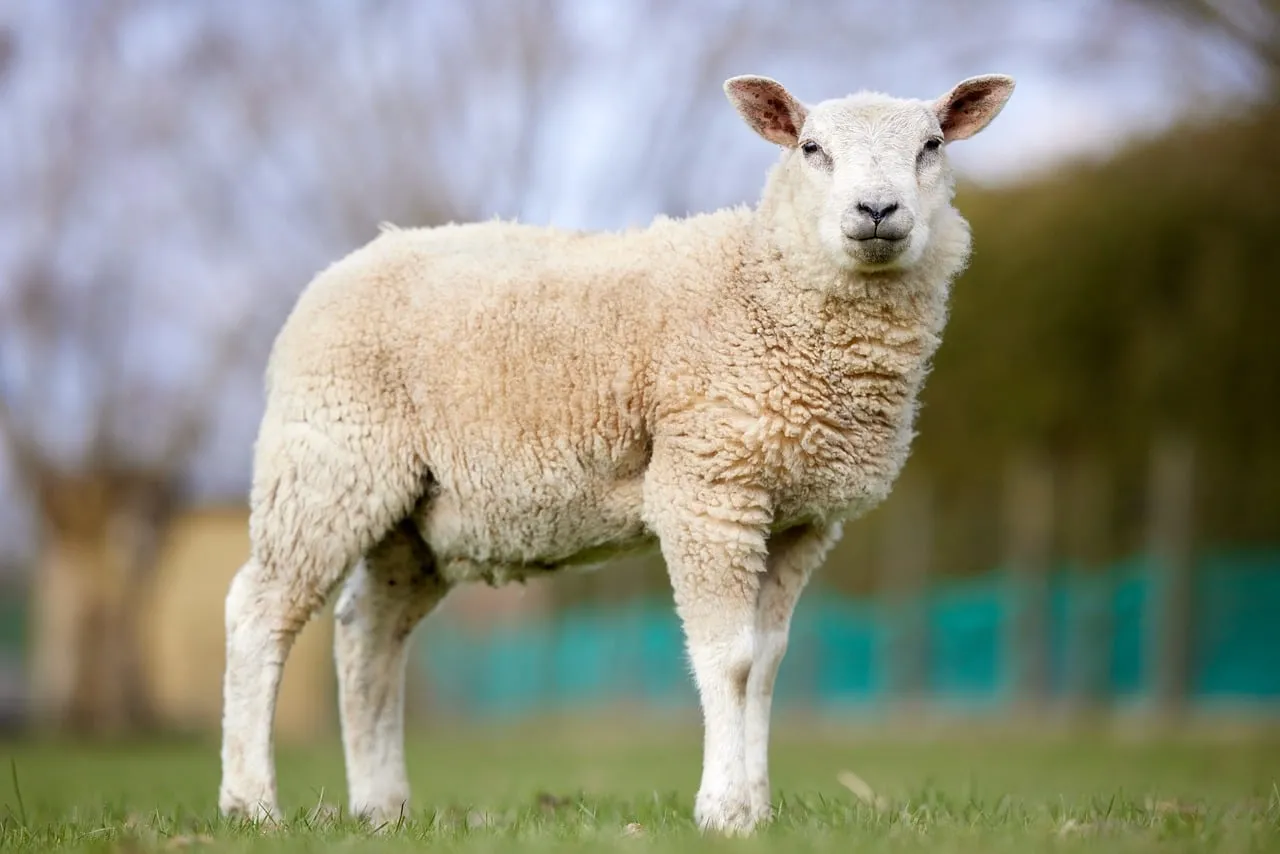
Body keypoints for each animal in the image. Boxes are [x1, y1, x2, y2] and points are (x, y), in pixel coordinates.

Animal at [218, 71, 1015, 835]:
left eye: (932, 146)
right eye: (811, 148)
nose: (878, 211)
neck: (764, 287)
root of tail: (345, 266)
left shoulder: (801, 519)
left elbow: (767, 663)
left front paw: (757, 806)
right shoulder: (708, 490)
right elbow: (729, 660)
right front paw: (723, 810)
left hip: (414, 523)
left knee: (369, 637)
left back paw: (381, 807)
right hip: (328, 461)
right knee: (259, 613)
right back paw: (251, 804)